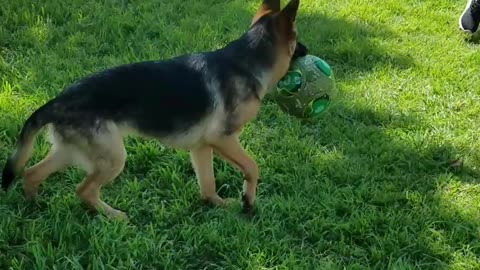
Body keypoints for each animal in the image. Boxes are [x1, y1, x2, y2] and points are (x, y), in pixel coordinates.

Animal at [1, 0, 306, 219]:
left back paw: (35, 208)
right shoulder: (223, 138)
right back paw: (114, 216)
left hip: (72, 152)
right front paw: (248, 201)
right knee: (83, 190)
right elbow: (252, 167)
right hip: (113, 157)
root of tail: (58, 101)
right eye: (297, 40)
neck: (248, 58)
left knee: (31, 174)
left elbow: (207, 185)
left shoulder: (202, 146)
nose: (307, 50)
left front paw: (217, 204)